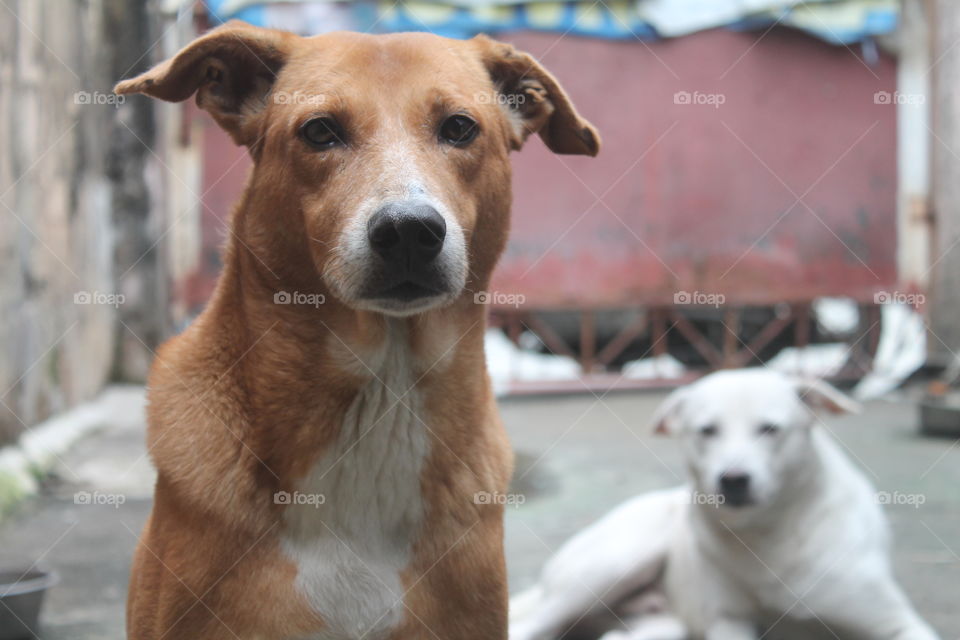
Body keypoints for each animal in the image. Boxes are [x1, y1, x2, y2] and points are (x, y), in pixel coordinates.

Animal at [510, 370, 936, 640]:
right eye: (707, 431)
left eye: (770, 429)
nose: (733, 480)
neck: (770, 535)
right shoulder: (729, 622)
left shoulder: (899, 623)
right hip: (616, 562)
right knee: (529, 628)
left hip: (661, 625)